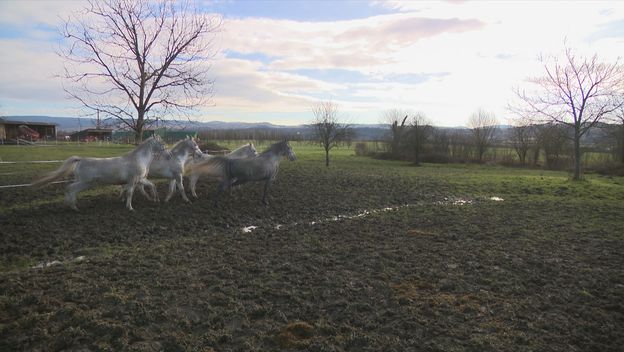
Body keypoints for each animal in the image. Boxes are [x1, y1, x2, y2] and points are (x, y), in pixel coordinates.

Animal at [32, 136, 167, 210]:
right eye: (162, 144)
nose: (168, 154)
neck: (138, 159)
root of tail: (81, 159)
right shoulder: (133, 180)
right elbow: (130, 193)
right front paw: (130, 207)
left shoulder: (139, 179)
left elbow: (151, 186)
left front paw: (155, 199)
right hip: (85, 182)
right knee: (70, 188)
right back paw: (74, 207)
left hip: (82, 182)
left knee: (71, 189)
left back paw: (72, 205)